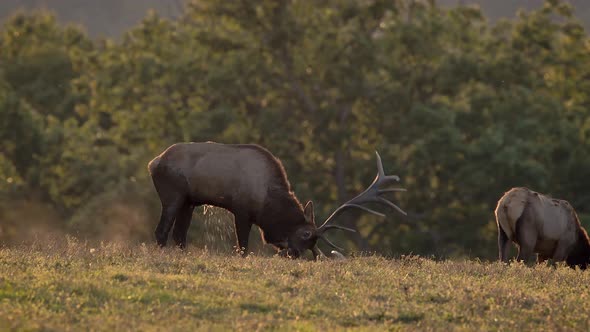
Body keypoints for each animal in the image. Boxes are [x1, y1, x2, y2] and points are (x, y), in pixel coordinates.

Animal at [148, 141, 410, 258]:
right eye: (306, 234)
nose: (293, 254)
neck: (267, 203)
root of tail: (153, 162)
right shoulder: (241, 209)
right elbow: (242, 246)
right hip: (173, 193)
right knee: (162, 230)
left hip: (189, 201)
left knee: (179, 235)